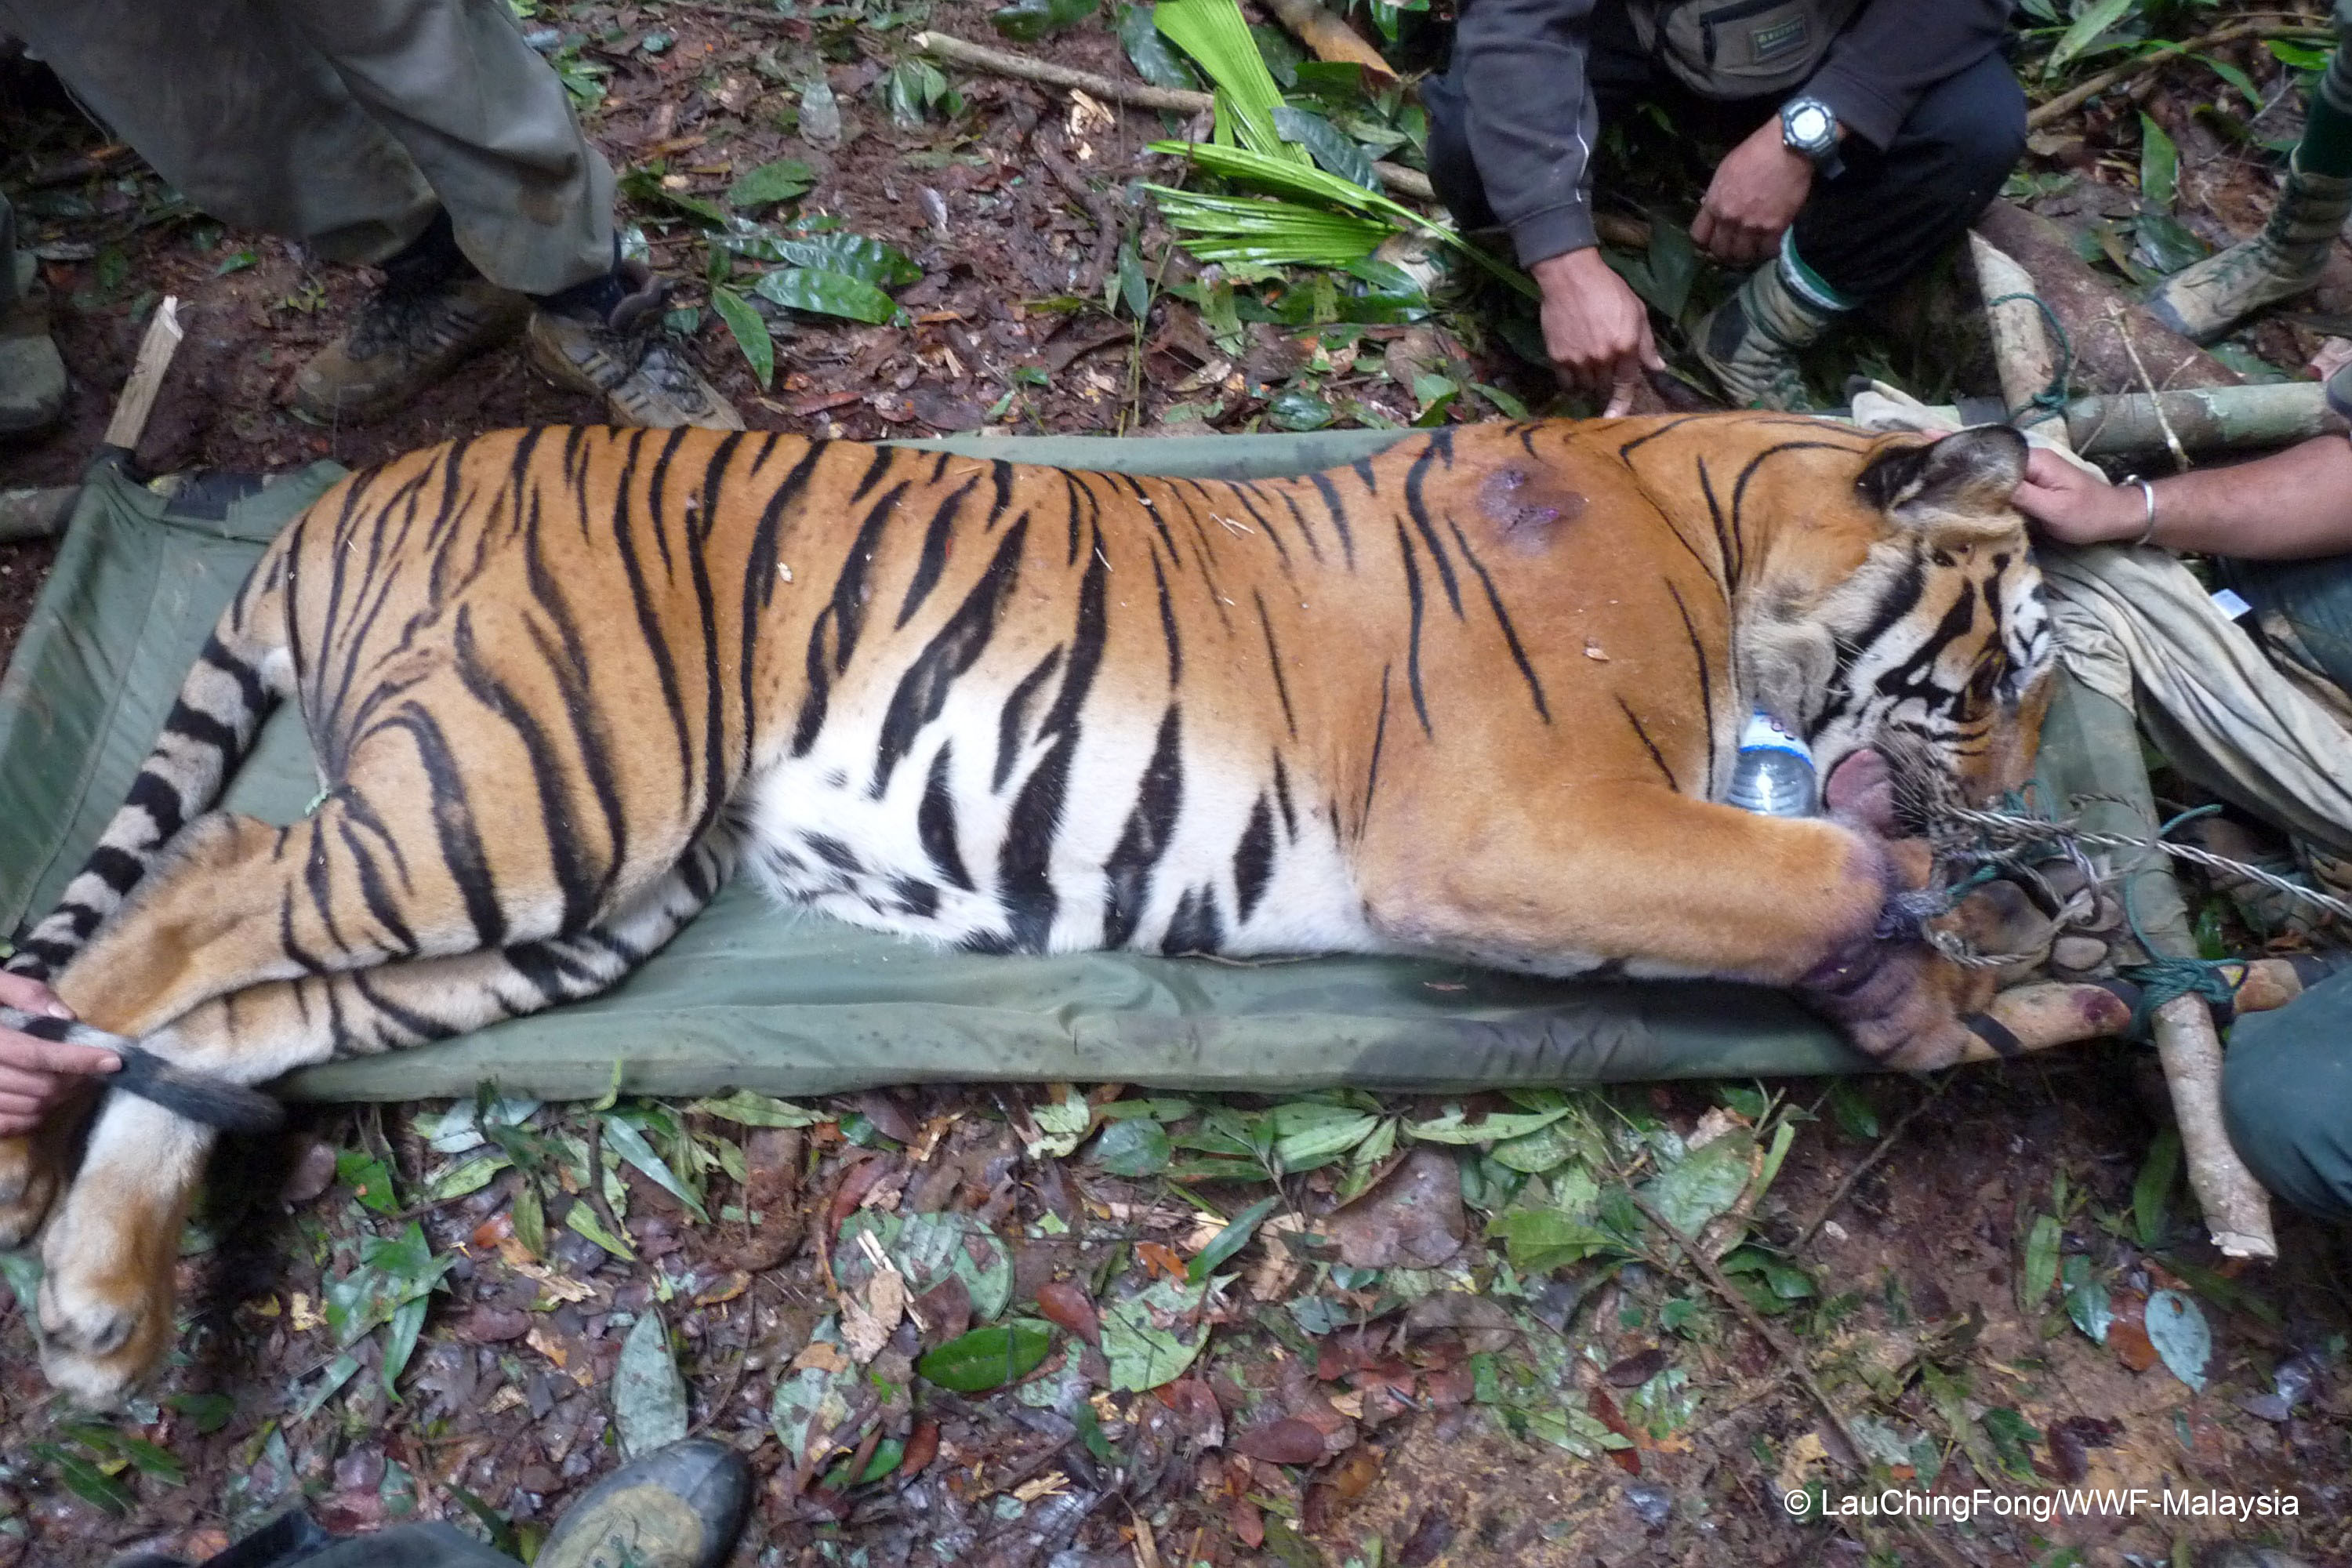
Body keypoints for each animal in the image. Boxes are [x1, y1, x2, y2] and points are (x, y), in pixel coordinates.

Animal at [4, 416, 2060, 1401]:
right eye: (2012, 664)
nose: (2038, 804)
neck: (1716, 528)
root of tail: (337, 490)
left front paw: (1968, 979)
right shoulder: (1519, 818)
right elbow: (1816, 865)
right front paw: (1945, 935)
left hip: (577, 897)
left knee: (245, 1010)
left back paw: (99, 1309)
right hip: (529, 788)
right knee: (207, 875)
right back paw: (27, 1154)